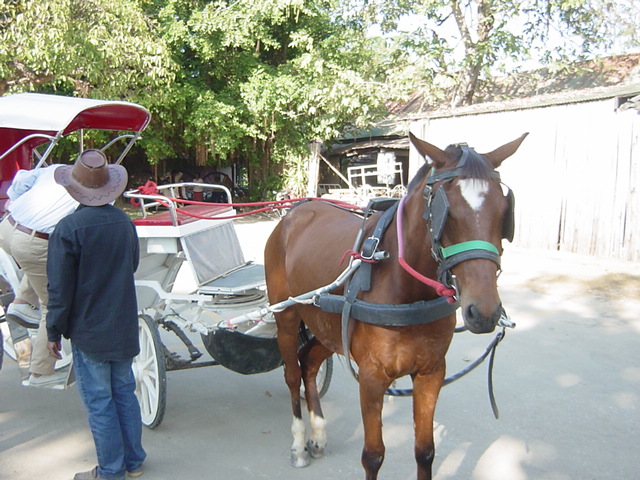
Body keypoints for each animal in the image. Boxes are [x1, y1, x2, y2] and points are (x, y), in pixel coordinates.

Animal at [262, 131, 528, 480]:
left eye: (503, 210)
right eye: (447, 211)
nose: (483, 312)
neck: (407, 288)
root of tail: (295, 212)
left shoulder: (431, 372)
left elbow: (425, 451)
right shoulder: (371, 378)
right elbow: (373, 456)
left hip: (327, 327)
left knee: (309, 363)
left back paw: (317, 435)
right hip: (287, 316)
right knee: (292, 373)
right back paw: (298, 443)